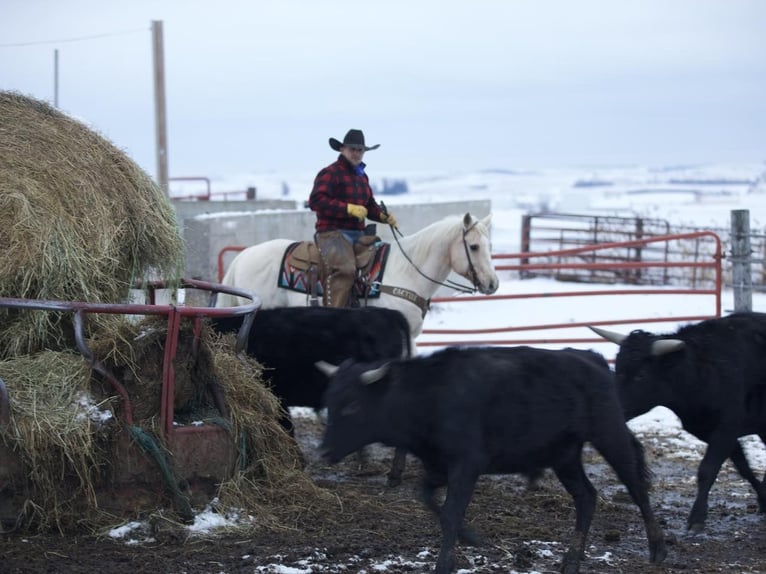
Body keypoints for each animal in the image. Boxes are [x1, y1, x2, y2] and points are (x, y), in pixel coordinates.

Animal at [316, 346, 668, 574]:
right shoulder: (437, 466)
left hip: (609, 434)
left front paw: (444, 563)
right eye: (330, 400)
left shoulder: (466, 465)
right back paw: (571, 560)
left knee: (636, 486)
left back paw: (658, 548)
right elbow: (428, 498)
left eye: (351, 405)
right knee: (586, 497)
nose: (323, 452)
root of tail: (590, 357)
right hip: (564, 455)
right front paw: (471, 538)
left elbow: (450, 512)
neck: (429, 394)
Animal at [592, 312, 766, 532]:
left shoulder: (726, 428)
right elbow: (743, 467)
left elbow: (707, 469)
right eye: (618, 368)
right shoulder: (712, 431)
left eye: (641, 375)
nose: (608, 405)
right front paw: (763, 498)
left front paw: (697, 517)